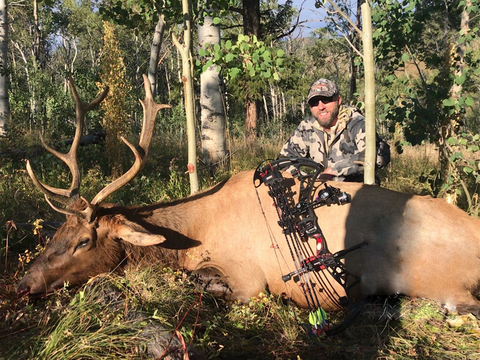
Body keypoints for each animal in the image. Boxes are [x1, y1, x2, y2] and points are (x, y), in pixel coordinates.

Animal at [15, 77, 480, 320]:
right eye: (57, 232)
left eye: (83, 241)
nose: (23, 283)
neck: (191, 235)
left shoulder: (247, 277)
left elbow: (207, 283)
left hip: (429, 275)